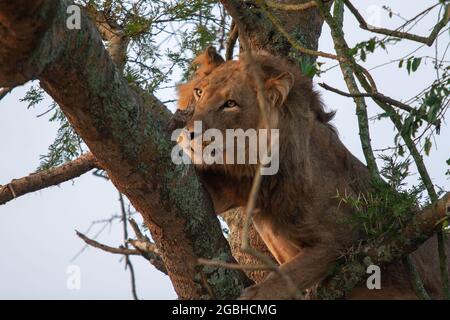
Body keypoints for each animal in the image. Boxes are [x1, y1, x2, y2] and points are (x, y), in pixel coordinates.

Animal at [174, 46, 448, 298]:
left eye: (230, 104)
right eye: (199, 92)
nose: (189, 134)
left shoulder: (346, 237)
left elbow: (286, 277)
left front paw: (253, 295)